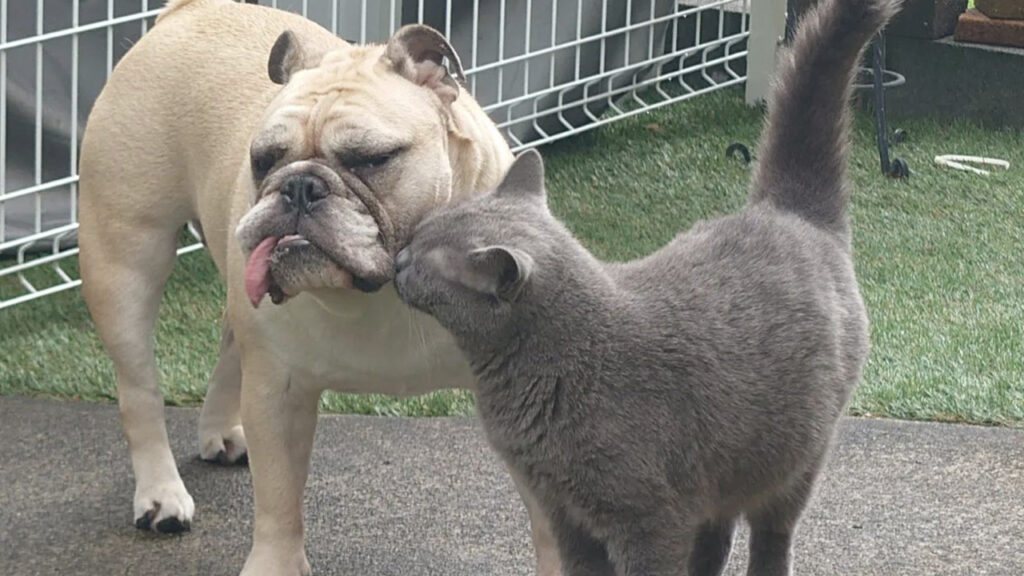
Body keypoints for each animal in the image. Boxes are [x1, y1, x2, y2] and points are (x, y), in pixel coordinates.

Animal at [391, 2, 897, 569]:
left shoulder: (649, 520)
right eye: (421, 232)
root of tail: (788, 211)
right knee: (718, 534)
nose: (398, 259)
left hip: (796, 455)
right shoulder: (563, 510)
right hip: (720, 474)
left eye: (427, 260)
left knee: (772, 531)